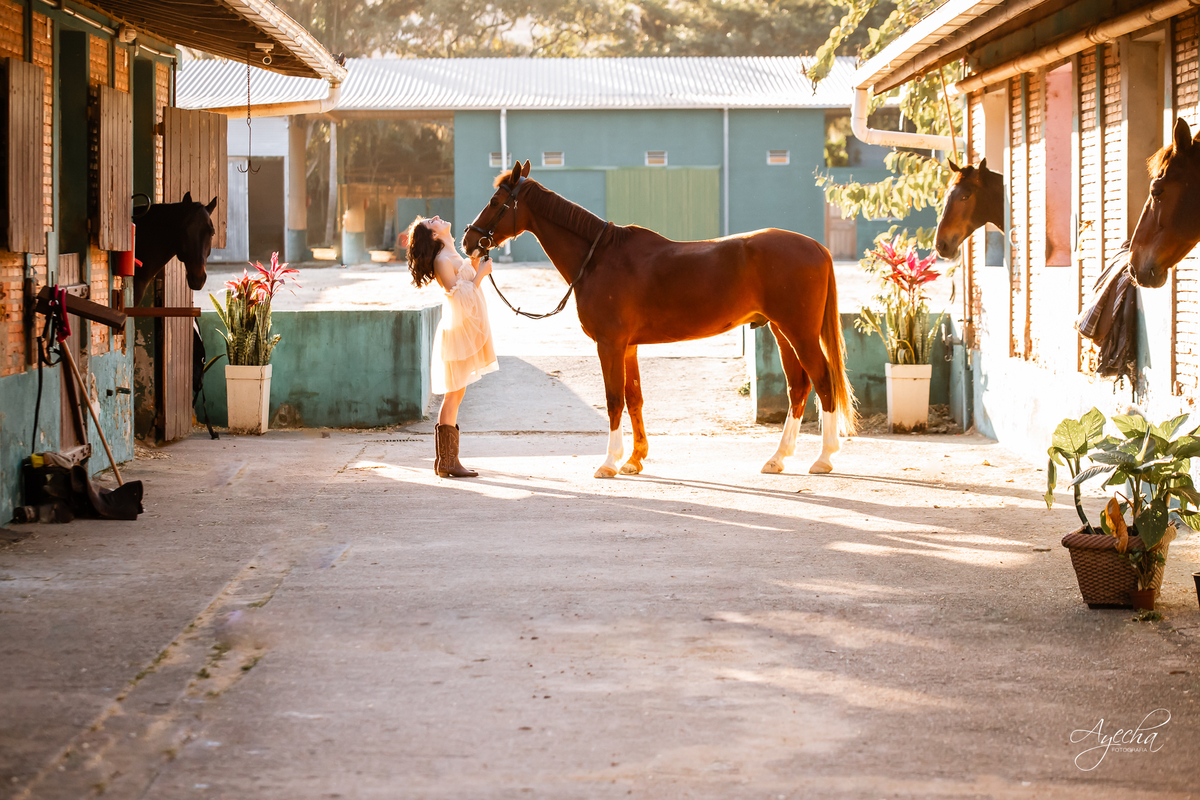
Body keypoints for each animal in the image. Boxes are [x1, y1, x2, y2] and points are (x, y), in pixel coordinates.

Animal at [462, 160, 857, 479]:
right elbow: (634, 398)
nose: (468, 240)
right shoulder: (628, 347)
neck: (599, 258)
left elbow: (614, 400)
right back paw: (778, 458)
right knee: (798, 388)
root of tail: (817, 247)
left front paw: (609, 462)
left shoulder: (609, 345)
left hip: (799, 332)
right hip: (781, 331)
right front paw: (634, 460)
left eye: (495, 202)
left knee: (823, 382)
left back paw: (824, 458)